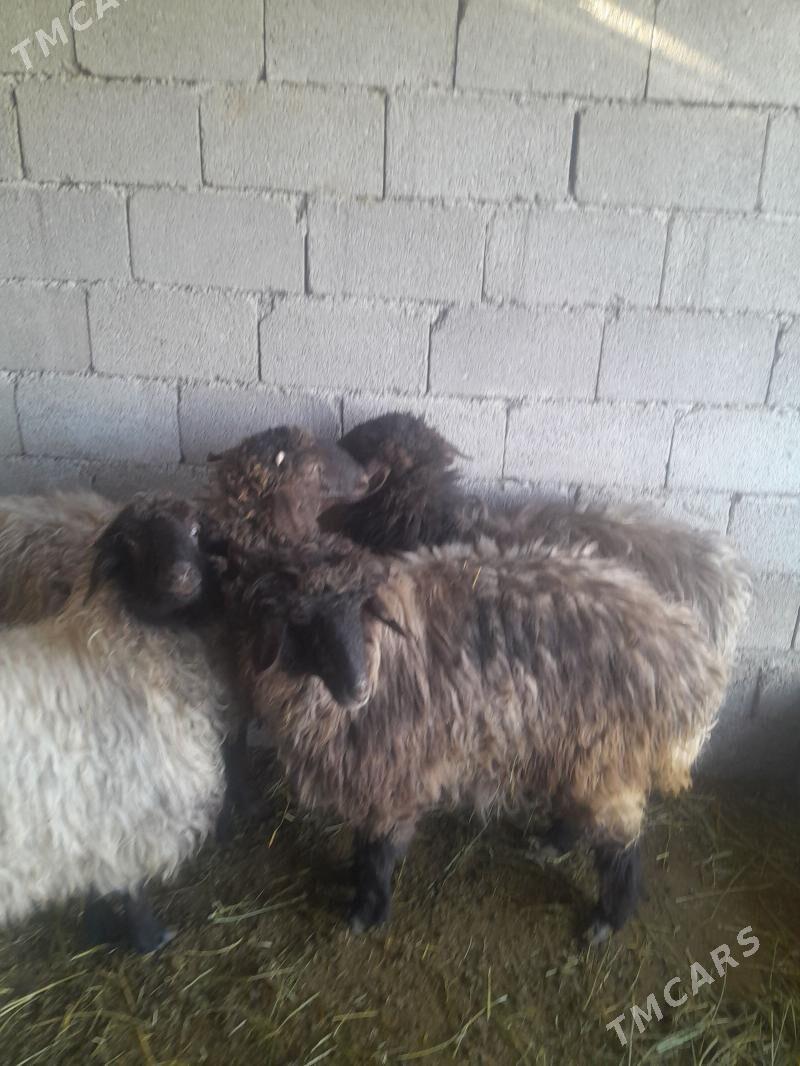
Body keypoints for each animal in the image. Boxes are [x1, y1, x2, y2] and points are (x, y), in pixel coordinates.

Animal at [228, 533, 729, 944]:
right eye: (300, 618)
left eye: (362, 608)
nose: (358, 689)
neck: (381, 652)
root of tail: (688, 652)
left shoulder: (391, 775)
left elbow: (377, 850)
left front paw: (367, 910)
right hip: (576, 747)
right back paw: (552, 843)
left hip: (609, 753)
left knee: (621, 843)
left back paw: (607, 918)